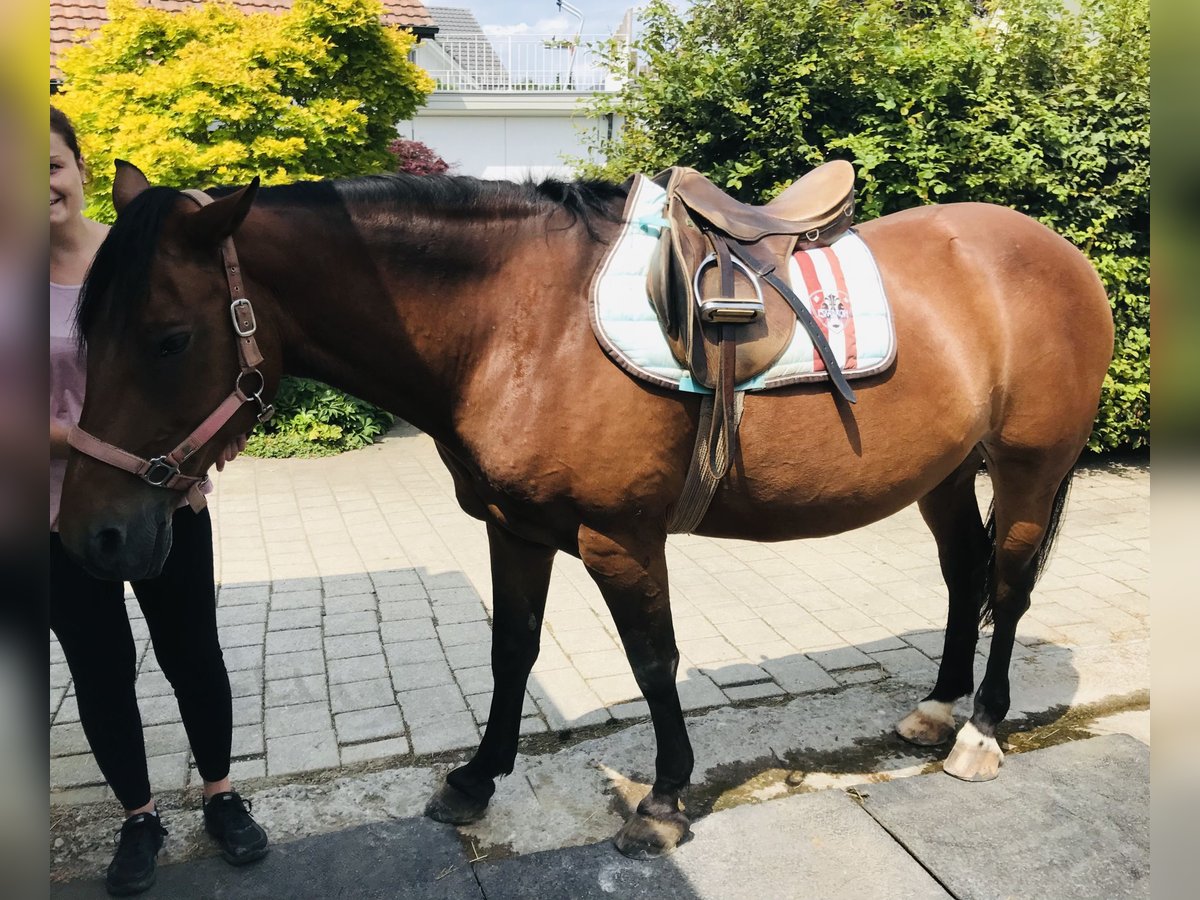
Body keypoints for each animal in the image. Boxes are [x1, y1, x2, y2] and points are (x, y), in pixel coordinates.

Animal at [60, 162, 1113, 859]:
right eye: (85, 330)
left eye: (168, 337)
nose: (91, 537)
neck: (520, 324)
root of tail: (1057, 250)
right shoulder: (514, 530)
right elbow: (510, 652)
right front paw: (475, 781)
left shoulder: (620, 540)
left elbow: (654, 662)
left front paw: (666, 799)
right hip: (945, 474)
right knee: (965, 576)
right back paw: (937, 709)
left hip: (1029, 468)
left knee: (1010, 587)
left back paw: (980, 733)